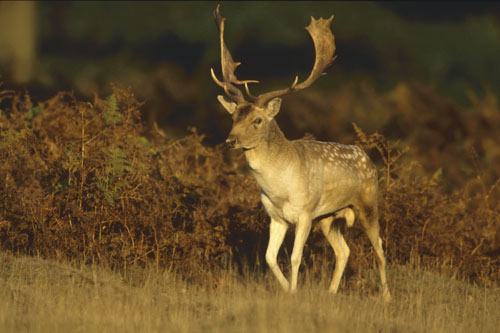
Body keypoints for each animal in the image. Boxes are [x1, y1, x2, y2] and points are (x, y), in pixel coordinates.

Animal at [211, 3, 390, 300]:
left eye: (257, 120)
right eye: (234, 116)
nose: (230, 141)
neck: (279, 187)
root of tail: (369, 159)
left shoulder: (306, 212)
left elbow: (295, 257)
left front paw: (294, 293)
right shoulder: (275, 216)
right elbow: (270, 257)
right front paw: (286, 290)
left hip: (367, 202)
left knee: (380, 247)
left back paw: (387, 297)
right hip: (329, 218)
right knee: (344, 250)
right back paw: (331, 292)